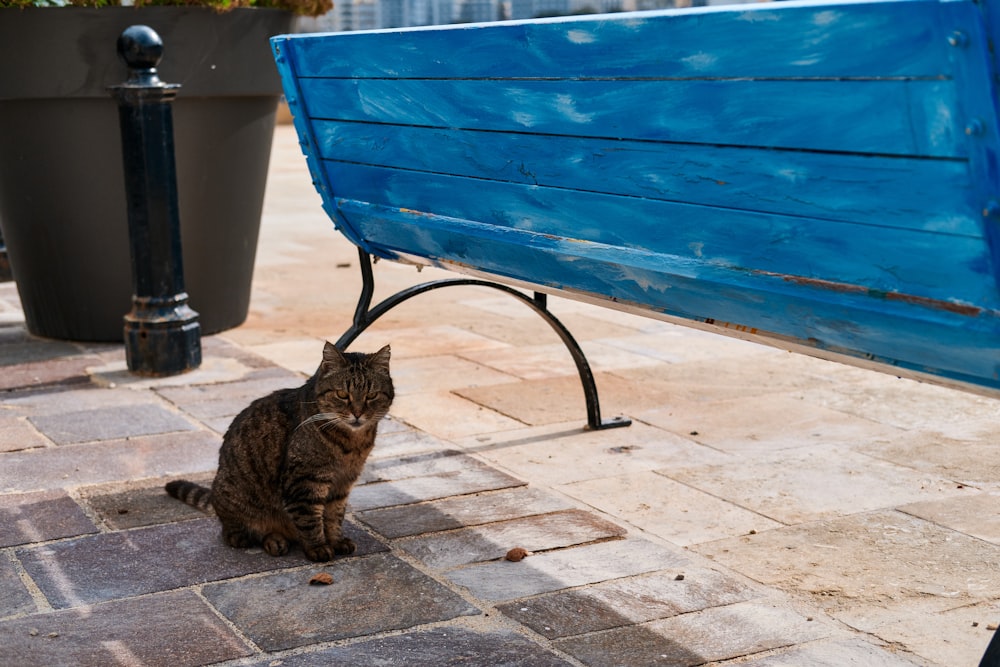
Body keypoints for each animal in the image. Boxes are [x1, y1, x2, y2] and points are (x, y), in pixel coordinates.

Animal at [166, 342, 392, 560]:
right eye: (342, 394)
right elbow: (310, 520)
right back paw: (273, 540)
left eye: (371, 395)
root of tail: (214, 496)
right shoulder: (305, 482)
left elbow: (334, 517)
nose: (357, 414)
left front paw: (336, 541)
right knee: (236, 533)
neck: (352, 443)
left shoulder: (342, 485)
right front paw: (318, 548)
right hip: (236, 499)